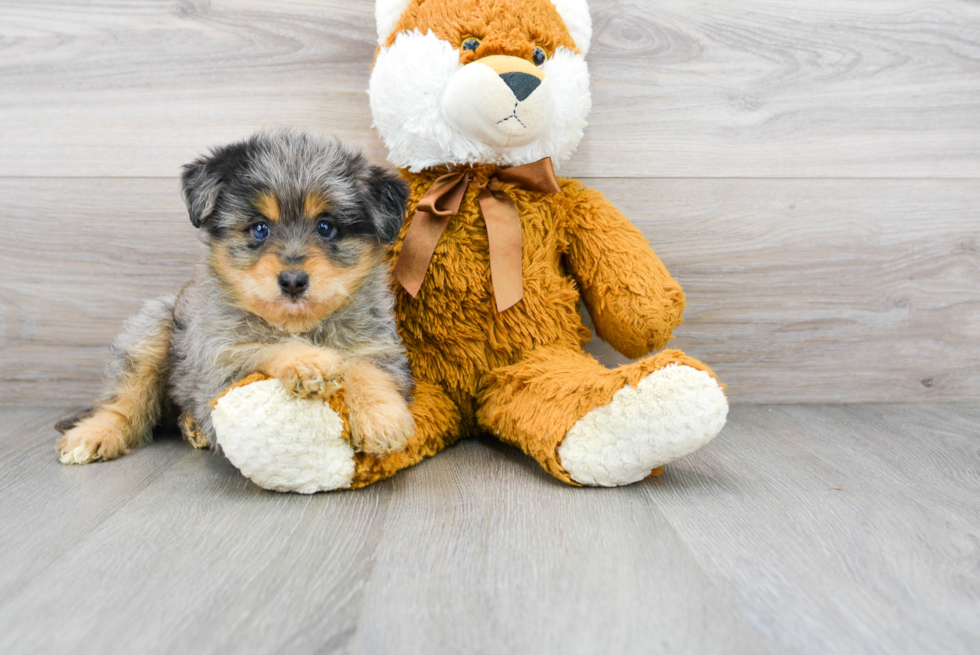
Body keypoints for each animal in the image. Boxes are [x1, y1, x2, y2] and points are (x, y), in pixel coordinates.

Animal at [54, 131, 414, 464]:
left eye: (326, 227)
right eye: (260, 228)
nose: (293, 281)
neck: (300, 326)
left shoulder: (377, 348)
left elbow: (367, 370)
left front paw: (382, 419)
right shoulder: (219, 367)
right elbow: (265, 346)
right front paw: (307, 362)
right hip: (152, 328)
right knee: (123, 401)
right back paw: (96, 434)